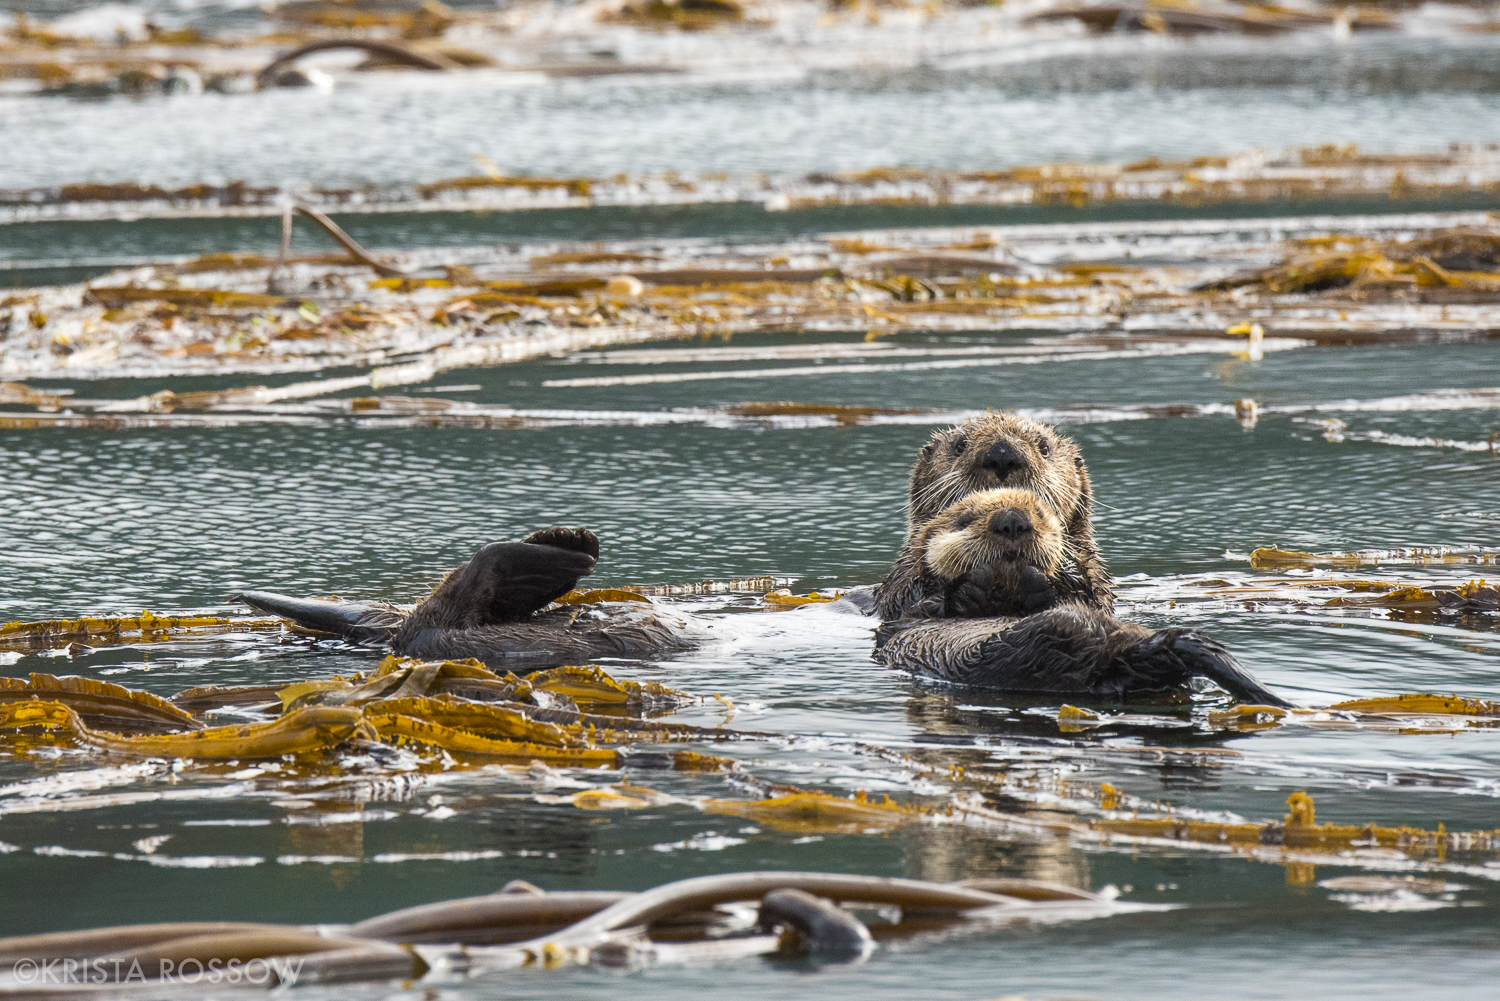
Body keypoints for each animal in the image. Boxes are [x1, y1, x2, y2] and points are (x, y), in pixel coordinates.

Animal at [876, 413, 1112, 619]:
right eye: (959, 446)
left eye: (1044, 448)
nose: (1002, 454)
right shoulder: (901, 584)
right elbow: (908, 599)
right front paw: (968, 589)